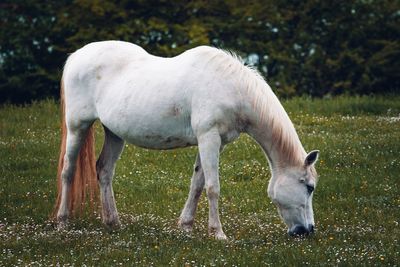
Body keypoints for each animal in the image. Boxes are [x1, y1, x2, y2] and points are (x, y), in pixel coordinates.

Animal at [54, 40, 320, 240]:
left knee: (105, 170)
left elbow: (198, 184)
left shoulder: (215, 143)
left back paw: (113, 222)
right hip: (77, 126)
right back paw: (63, 221)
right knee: (68, 170)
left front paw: (186, 226)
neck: (230, 87)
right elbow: (213, 187)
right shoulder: (208, 137)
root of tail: (76, 56)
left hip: (114, 133)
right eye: (309, 186)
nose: (307, 231)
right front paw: (218, 233)